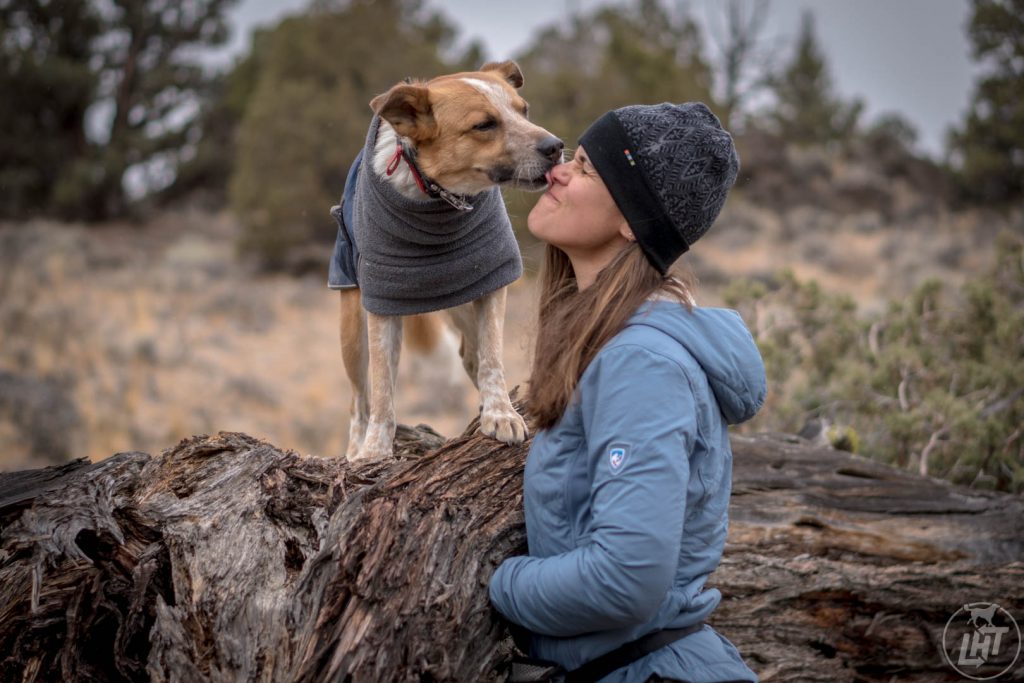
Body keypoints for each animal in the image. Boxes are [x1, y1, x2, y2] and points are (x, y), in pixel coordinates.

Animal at [327, 61, 565, 462]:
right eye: (484, 125)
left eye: (524, 110)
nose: (556, 147)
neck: (439, 200)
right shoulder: (382, 303)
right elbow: (382, 391)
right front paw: (375, 451)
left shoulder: (491, 281)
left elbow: (492, 360)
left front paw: (500, 413)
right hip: (351, 328)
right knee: (359, 399)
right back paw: (356, 447)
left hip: (466, 301)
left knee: (471, 355)